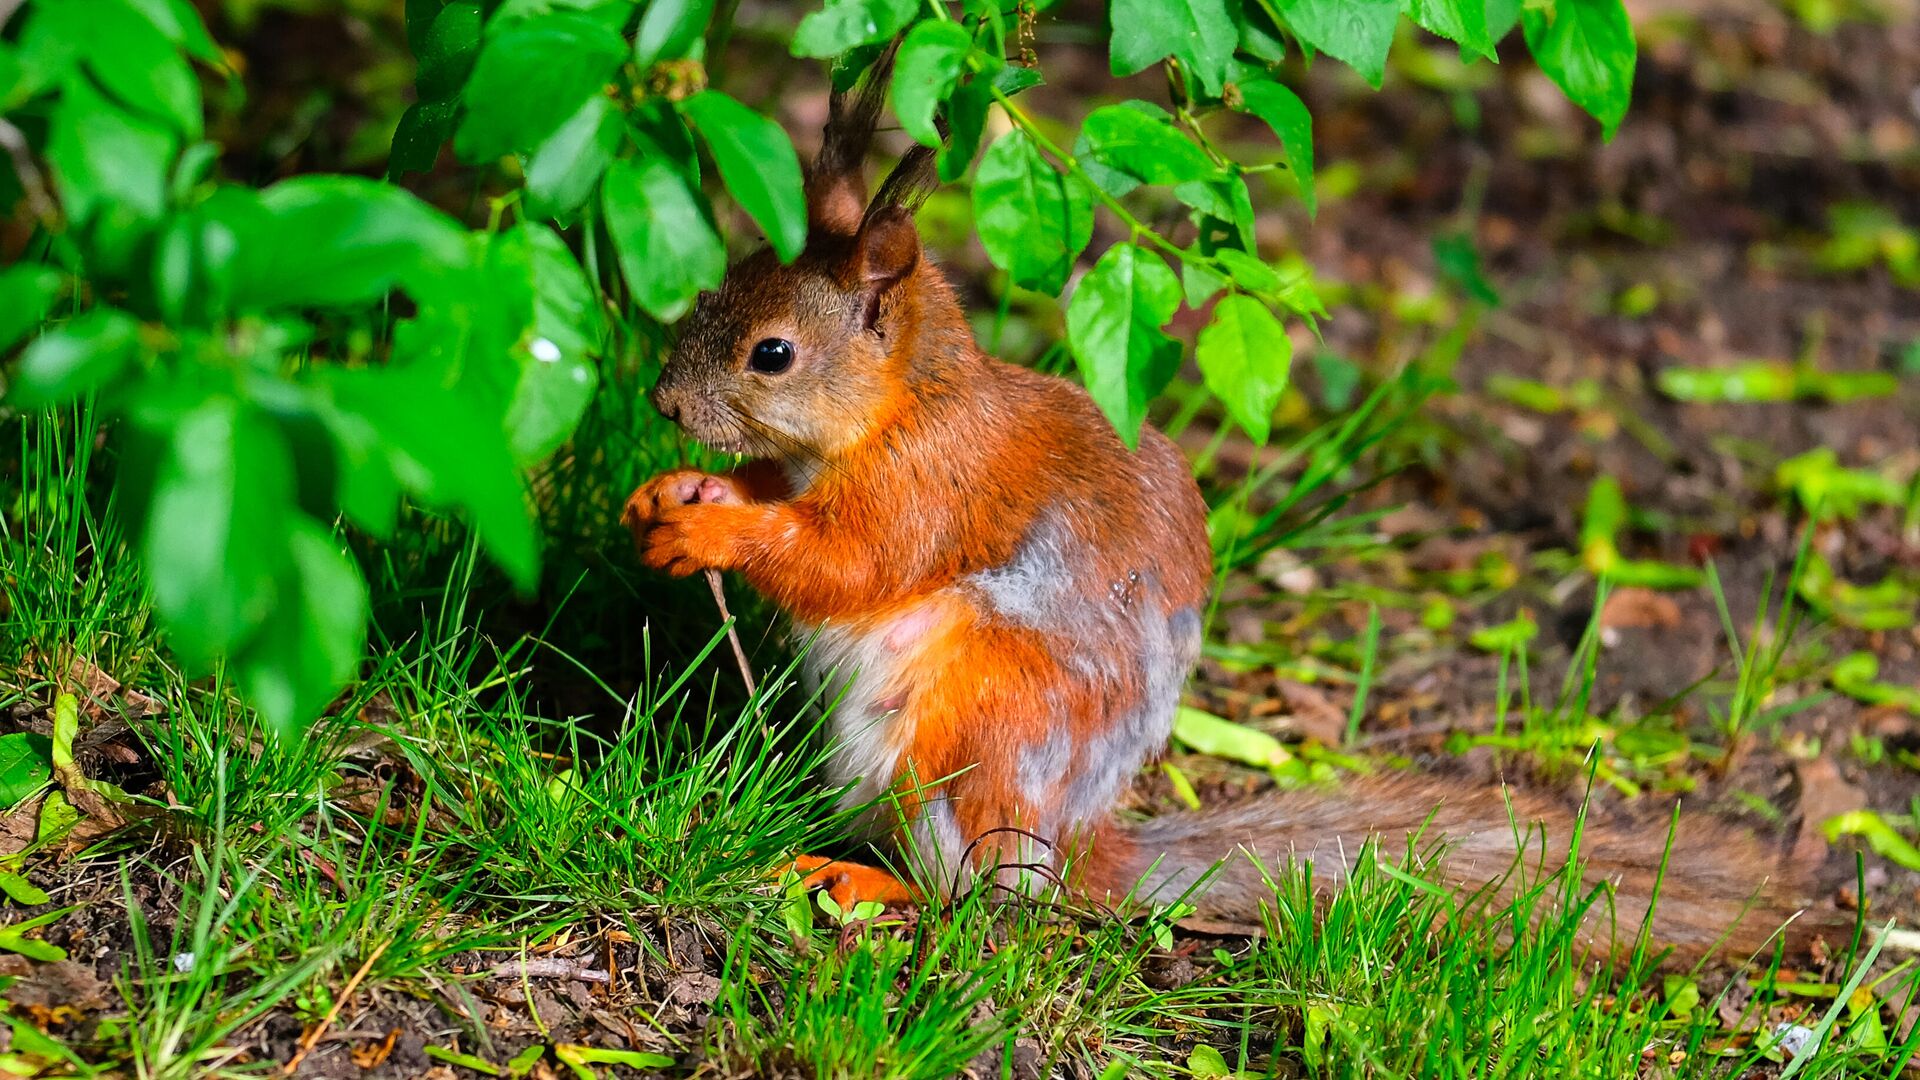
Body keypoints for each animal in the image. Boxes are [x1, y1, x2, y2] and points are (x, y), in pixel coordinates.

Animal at [622, 54, 1835, 960]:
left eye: (773, 354)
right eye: (722, 279)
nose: (664, 400)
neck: (898, 408)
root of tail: (1074, 841)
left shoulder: (931, 488)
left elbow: (849, 565)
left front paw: (712, 527)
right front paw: (675, 492)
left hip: (970, 734)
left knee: (977, 895)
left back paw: (859, 880)